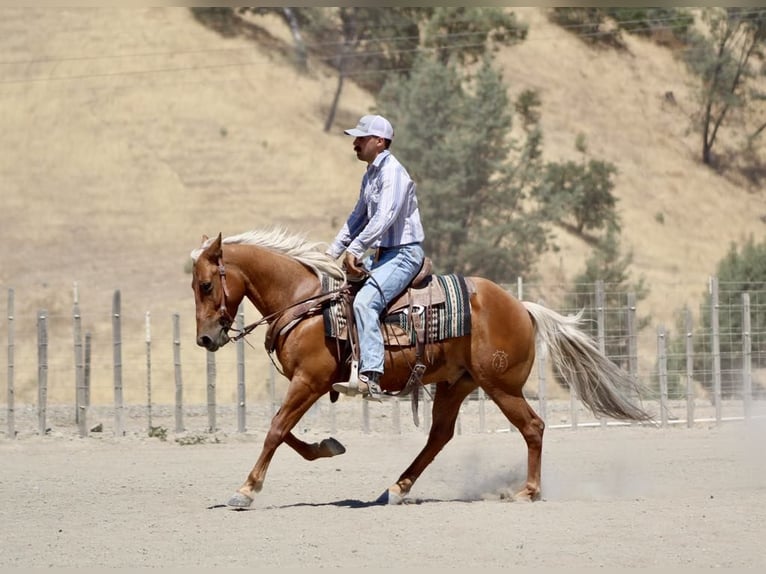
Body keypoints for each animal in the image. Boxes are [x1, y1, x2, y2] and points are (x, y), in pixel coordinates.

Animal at [189, 228, 652, 508]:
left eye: (207, 284)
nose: (206, 340)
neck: (306, 302)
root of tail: (521, 306)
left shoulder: (310, 381)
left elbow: (276, 429)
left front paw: (246, 491)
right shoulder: (310, 384)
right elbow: (285, 432)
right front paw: (329, 446)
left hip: (501, 386)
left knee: (533, 427)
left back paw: (528, 491)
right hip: (455, 385)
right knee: (439, 437)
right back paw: (397, 487)